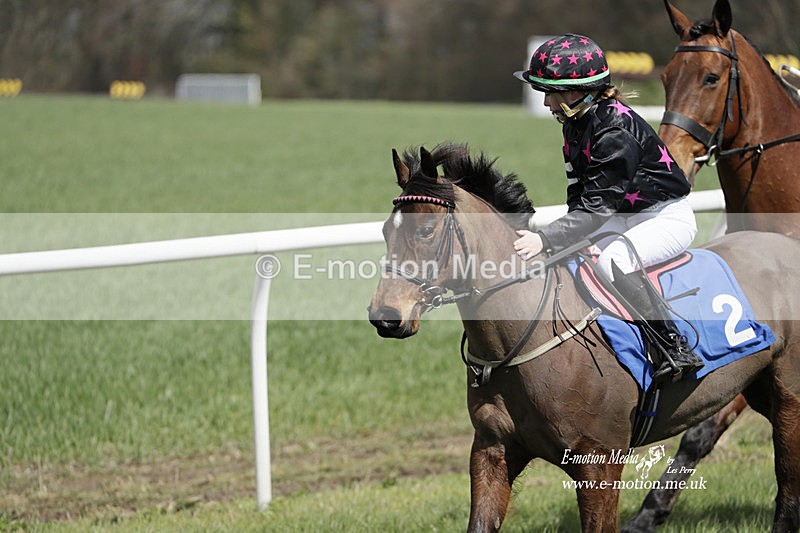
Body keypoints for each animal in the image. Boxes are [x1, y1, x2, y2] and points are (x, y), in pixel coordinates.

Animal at [368, 143, 800, 532]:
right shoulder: (493, 450)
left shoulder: (599, 462)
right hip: (760, 387)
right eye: (386, 230)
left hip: (789, 397)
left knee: (788, 490)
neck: (524, 339)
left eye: (425, 230)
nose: (385, 316)